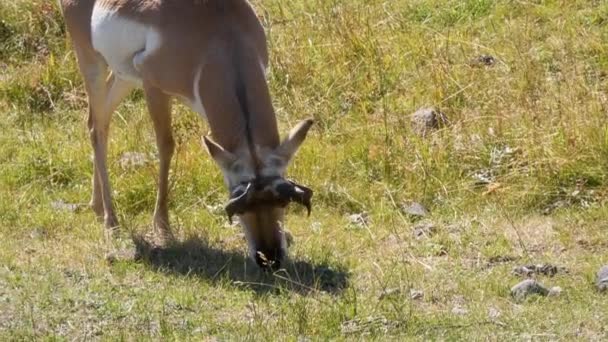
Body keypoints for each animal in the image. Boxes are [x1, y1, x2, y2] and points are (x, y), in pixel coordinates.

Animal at [60, 0, 316, 268]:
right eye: (238, 202)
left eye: (283, 200)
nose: (269, 258)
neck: (219, 34)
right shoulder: (154, 87)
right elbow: (166, 146)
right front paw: (163, 229)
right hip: (92, 62)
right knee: (96, 125)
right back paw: (111, 223)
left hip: (123, 76)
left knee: (101, 118)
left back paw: (97, 206)